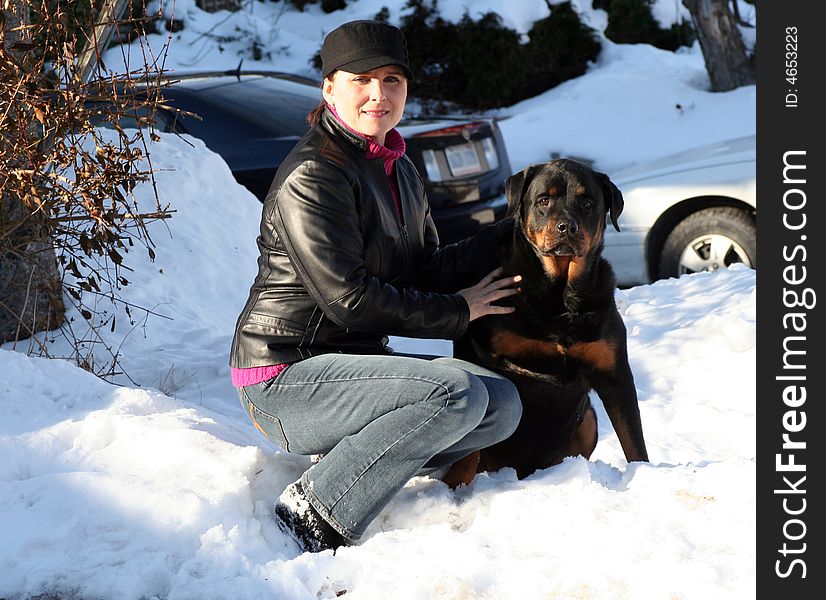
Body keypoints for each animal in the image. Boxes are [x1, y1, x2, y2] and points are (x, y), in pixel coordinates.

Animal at [448, 158, 648, 482]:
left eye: (586, 203)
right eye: (543, 200)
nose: (567, 226)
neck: (560, 296)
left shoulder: (614, 372)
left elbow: (634, 442)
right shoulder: (485, 357)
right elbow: (468, 450)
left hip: (588, 420)